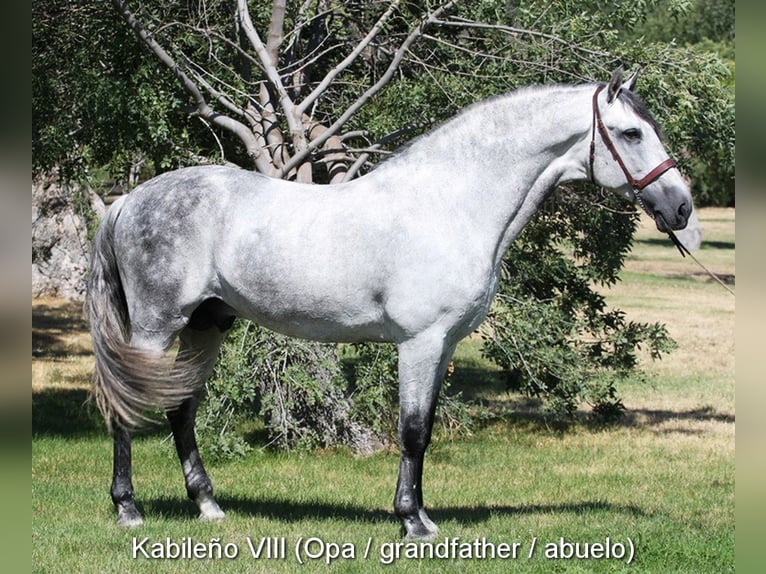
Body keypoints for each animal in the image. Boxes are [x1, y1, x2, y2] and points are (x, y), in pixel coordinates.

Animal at [87, 70, 692, 544]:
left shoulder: (443, 345)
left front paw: (419, 514)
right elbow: (413, 431)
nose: (681, 207)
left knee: (180, 410)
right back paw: (129, 510)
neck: (450, 203)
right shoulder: (419, 343)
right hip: (155, 327)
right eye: (632, 132)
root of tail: (127, 201)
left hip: (205, 326)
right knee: (129, 408)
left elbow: (424, 429)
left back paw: (209, 506)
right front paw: (412, 522)